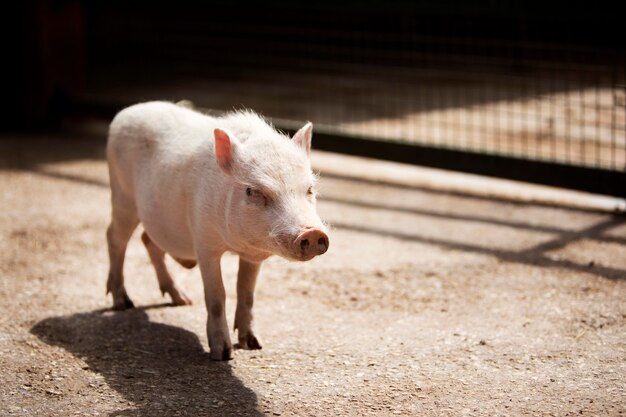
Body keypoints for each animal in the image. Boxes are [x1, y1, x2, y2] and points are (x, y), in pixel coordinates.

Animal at [105, 100, 330, 358]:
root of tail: (126, 112)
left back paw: (182, 300)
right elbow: (216, 294)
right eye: (253, 191)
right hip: (122, 195)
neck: (237, 245)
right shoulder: (204, 242)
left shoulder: (252, 256)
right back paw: (123, 303)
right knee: (115, 238)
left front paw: (254, 344)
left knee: (148, 240)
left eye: (309, 189)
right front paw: (222, 354)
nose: (312, 232)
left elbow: (247, 292)